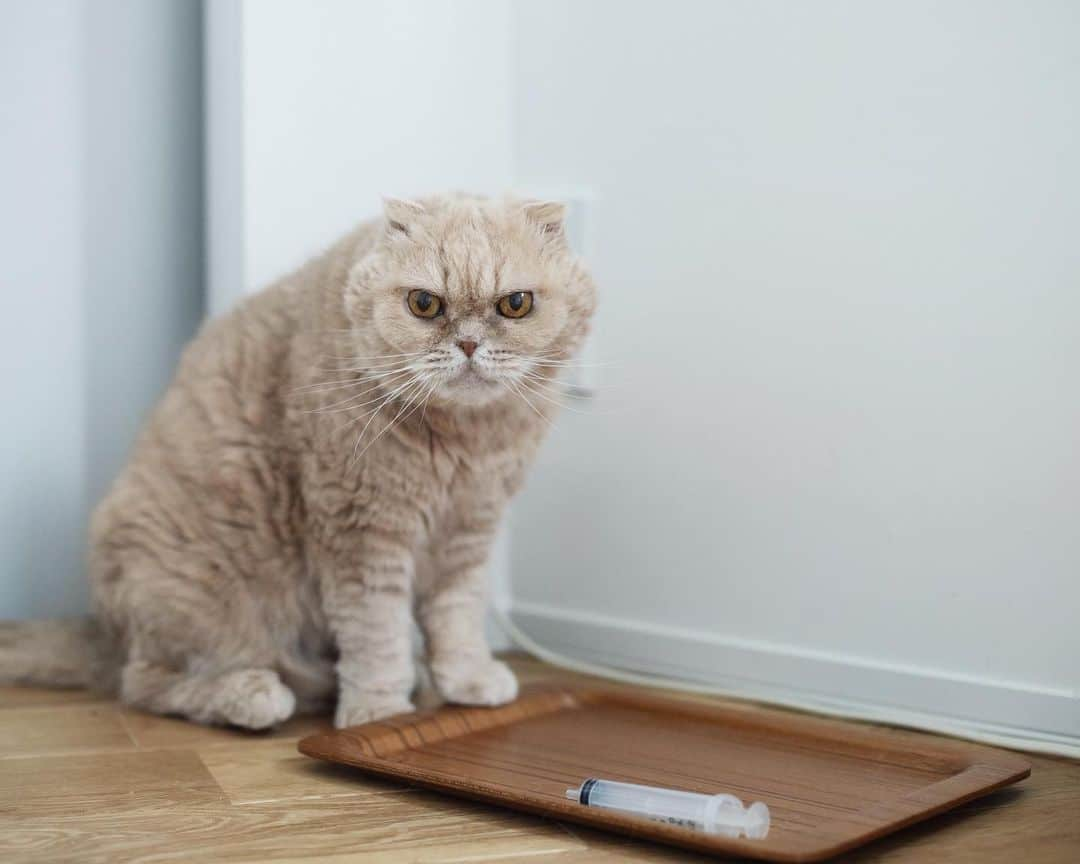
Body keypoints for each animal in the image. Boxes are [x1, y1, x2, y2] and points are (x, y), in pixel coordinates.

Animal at [0, 192, 600, 725]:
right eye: (424, 303)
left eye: (515, 304)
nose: (469, 345)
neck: (463, 442)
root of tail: (103, 632)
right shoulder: (362, 531)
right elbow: (377, 633)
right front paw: (379, 714)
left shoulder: (468, 530)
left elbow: (457, 617)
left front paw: (467, 681)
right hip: (194, 598)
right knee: (148, 682)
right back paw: (254, 696)